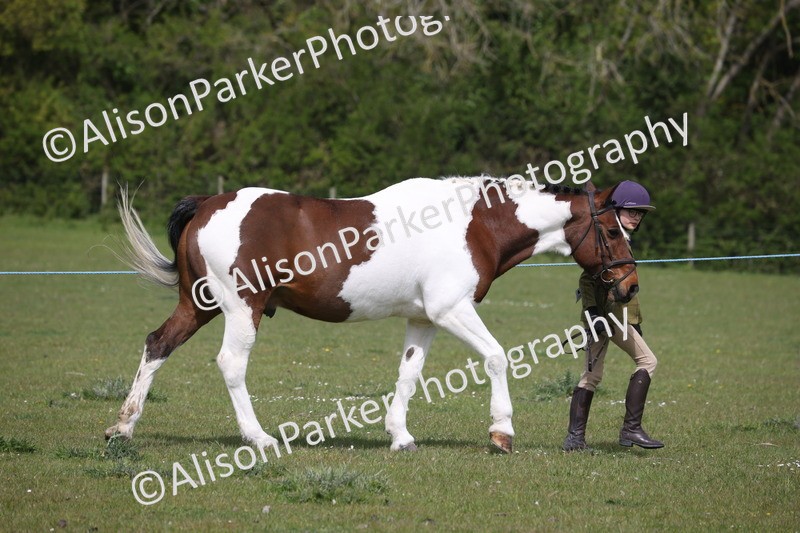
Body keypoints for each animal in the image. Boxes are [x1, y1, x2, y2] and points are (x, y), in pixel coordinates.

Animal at [106, 176, 638, 454]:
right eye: (613, 231)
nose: (630, 286)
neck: (474, 225)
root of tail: (209, 203)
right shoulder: (452, 310)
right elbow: (496, 357)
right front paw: (501, 432)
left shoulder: (424, 320)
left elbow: (408, 376)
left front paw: (399, 436)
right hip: (240, 308)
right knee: (231, 365)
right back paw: (258, 438)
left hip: (199, 304)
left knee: (157, 344)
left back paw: (124, 426)